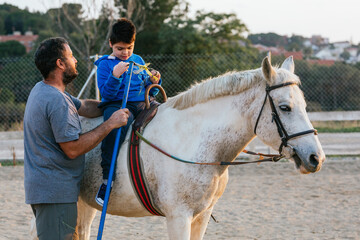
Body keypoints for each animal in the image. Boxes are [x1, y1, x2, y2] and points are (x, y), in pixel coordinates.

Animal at [74, 55, 324, 239]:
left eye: (304, 105)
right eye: (285, 107)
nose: (316, 158)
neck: (194, 141)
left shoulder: (202, 216)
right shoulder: (178, 217)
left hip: (85, 204)